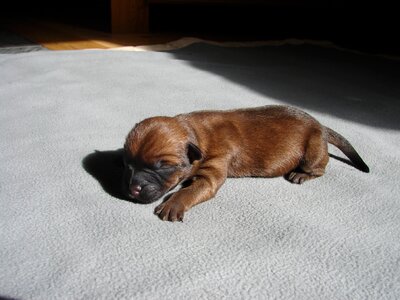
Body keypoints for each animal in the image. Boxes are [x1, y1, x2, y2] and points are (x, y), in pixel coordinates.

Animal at [122, 105, 368, 220]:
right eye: (128, 165)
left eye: (163, 166)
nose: (132, 190)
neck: (197, 135)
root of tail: (321, 125)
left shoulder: (212, 170)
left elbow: (191, 190)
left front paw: (174, 204)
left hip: (313, 150)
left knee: (320, 167)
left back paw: (302, 174)